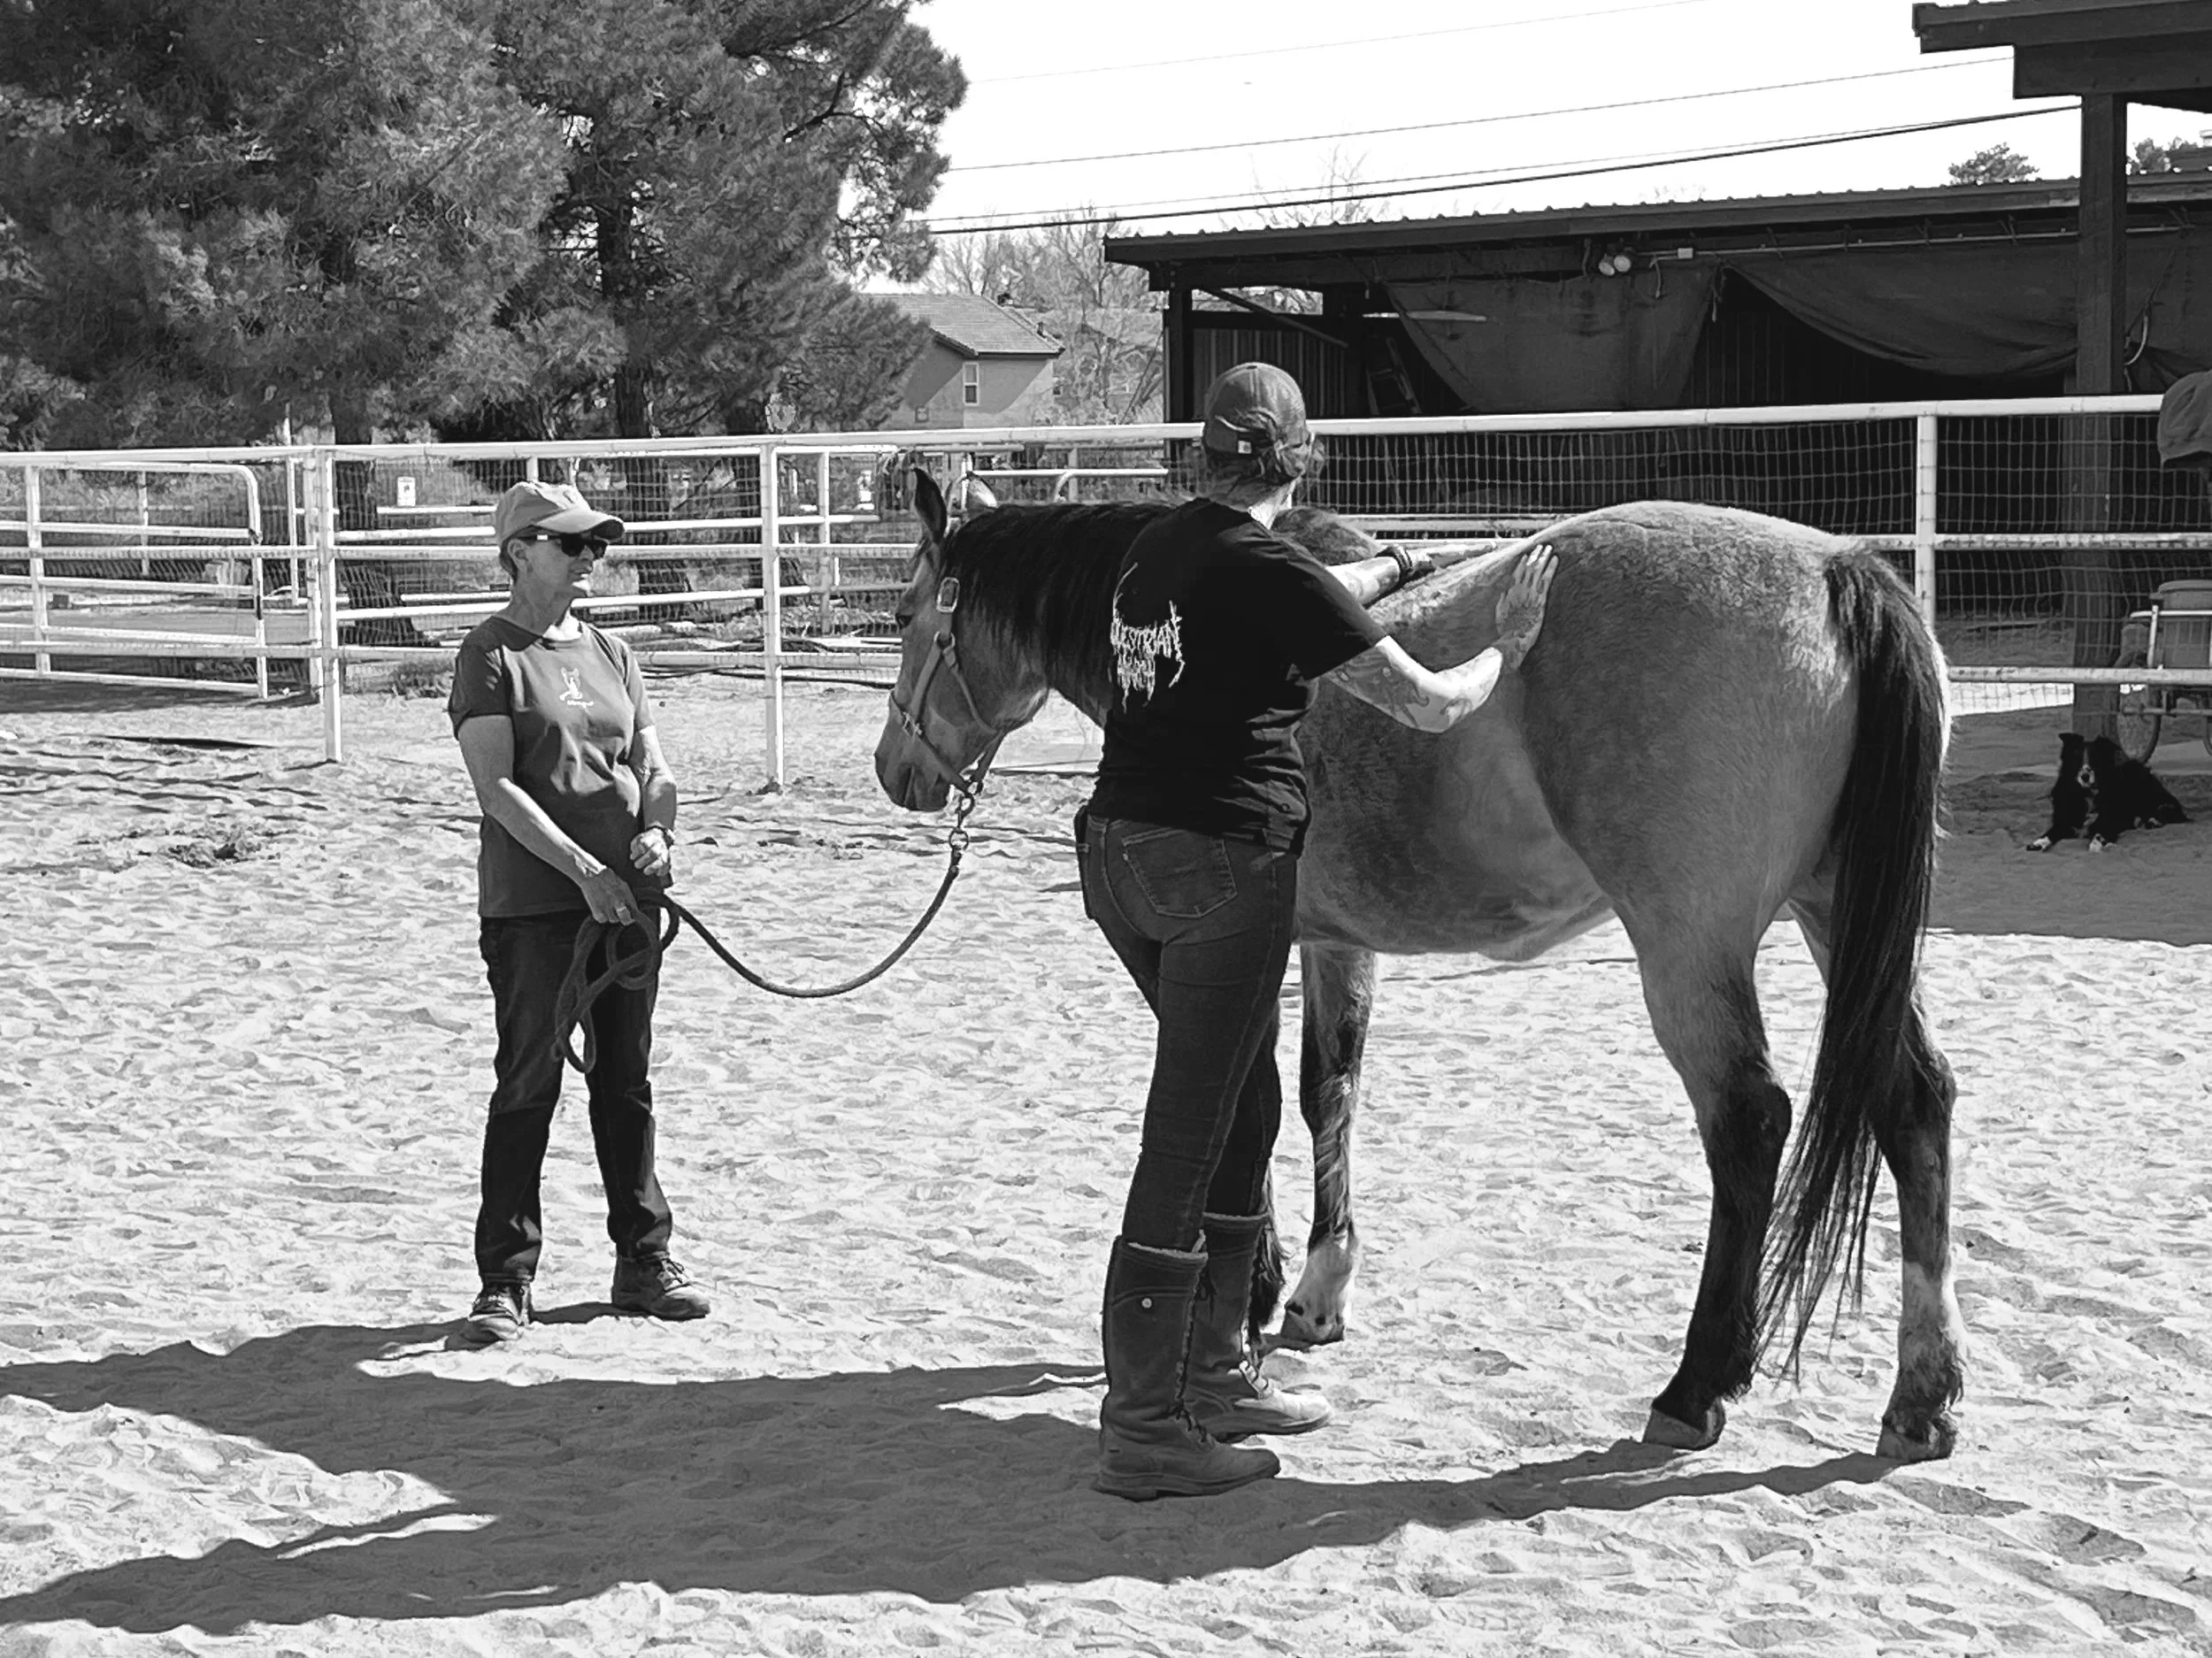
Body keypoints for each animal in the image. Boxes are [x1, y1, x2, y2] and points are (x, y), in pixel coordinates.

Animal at [872, 471, 1964, 1463]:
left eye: (904, 614)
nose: (897, 769)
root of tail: (1836, 570)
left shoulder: (1231, 953)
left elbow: (1246, 1108)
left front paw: (1259, 1289)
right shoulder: (1332, 940)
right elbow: (1328, 1090)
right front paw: (1318, 1289)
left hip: (1690, 944)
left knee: (1748, 1120)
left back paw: (1696, 1386)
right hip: (1837, 915)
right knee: (1913, 1100)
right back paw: (1921, 1394)